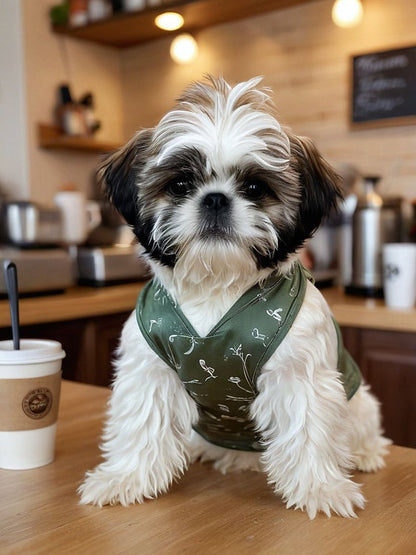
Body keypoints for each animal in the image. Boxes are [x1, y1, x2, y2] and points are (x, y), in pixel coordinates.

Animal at [79, 76, 390, 520]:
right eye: (180, 185)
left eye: (256, 188)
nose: (215, 198)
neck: (218, 283)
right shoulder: (150, 370)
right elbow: (144, 420)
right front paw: (126, 478)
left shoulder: (300, 376)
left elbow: (307, 427)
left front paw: (320, 488)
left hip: (358, 400)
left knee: (361, 427)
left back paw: (364, 454)